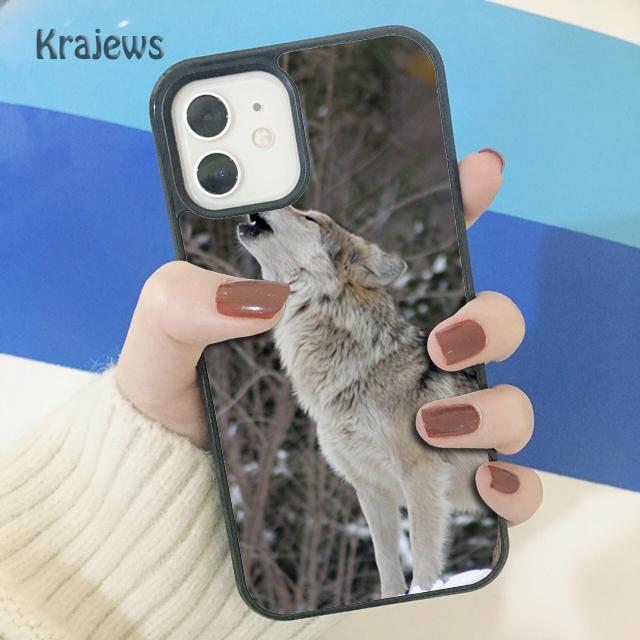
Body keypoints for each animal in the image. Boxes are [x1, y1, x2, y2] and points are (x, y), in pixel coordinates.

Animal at [237, 206, 488, 597]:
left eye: (310, 218)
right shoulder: (371, 488)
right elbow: (386, 565)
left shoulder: (421, 476)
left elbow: (423, 556)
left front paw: (424, 593)